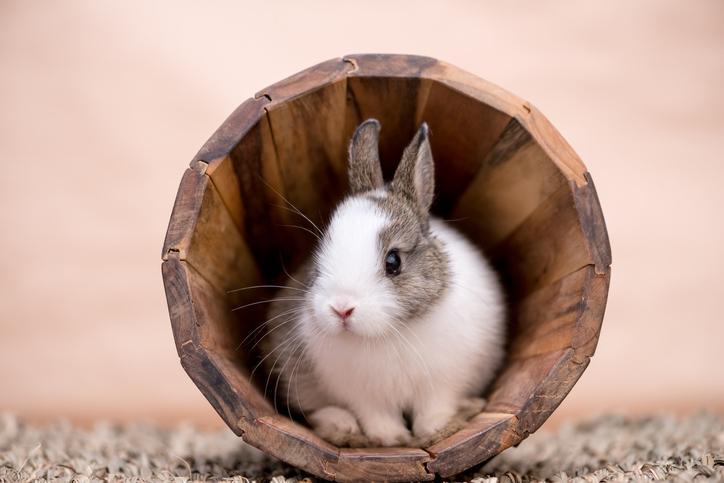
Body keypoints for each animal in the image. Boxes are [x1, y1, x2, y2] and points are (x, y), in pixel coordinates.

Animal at [261, 118, 506, 447]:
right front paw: (392, 439)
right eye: (319, 254)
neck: (388, 333)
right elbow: (376, 417)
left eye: (393, 262)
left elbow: (434, 409)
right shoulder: (363, 396)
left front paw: (433, 431)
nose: (341, 309)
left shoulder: (442, 383)